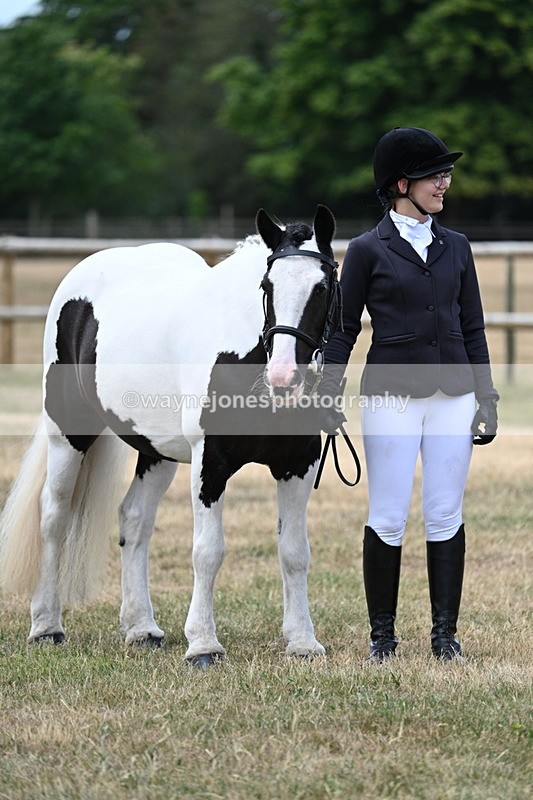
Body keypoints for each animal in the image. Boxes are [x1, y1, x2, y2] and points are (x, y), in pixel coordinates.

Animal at [0, 204, 341, 667]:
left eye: (322, 287)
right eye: (267, 286)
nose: (283, 378)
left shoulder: (297, 463)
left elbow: (294, 552)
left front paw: (303, 642)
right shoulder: (209, 461)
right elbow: (208, 550)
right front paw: (203, 644)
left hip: (155, 451)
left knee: (134, 519)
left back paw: (141, 628)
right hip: (68, 433)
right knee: (53, 516)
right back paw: (46, 626)